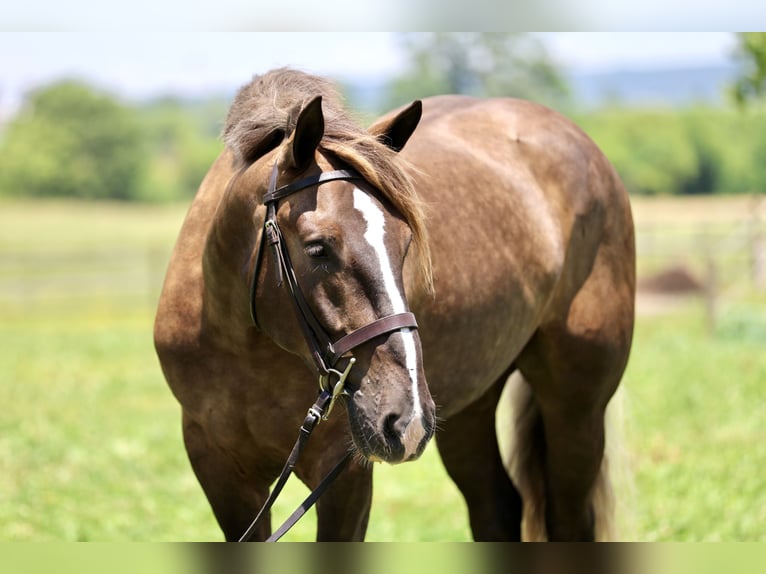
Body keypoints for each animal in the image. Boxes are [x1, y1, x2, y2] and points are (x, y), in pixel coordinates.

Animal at [154, 68, 635, 541]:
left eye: (406, 243)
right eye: (317, 248)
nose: (406, 416)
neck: (245, 343)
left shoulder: (342, 472)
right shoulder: (219, 467)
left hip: (576, 404)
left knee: (569, 516)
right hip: (470, 405)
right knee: (496, 507)